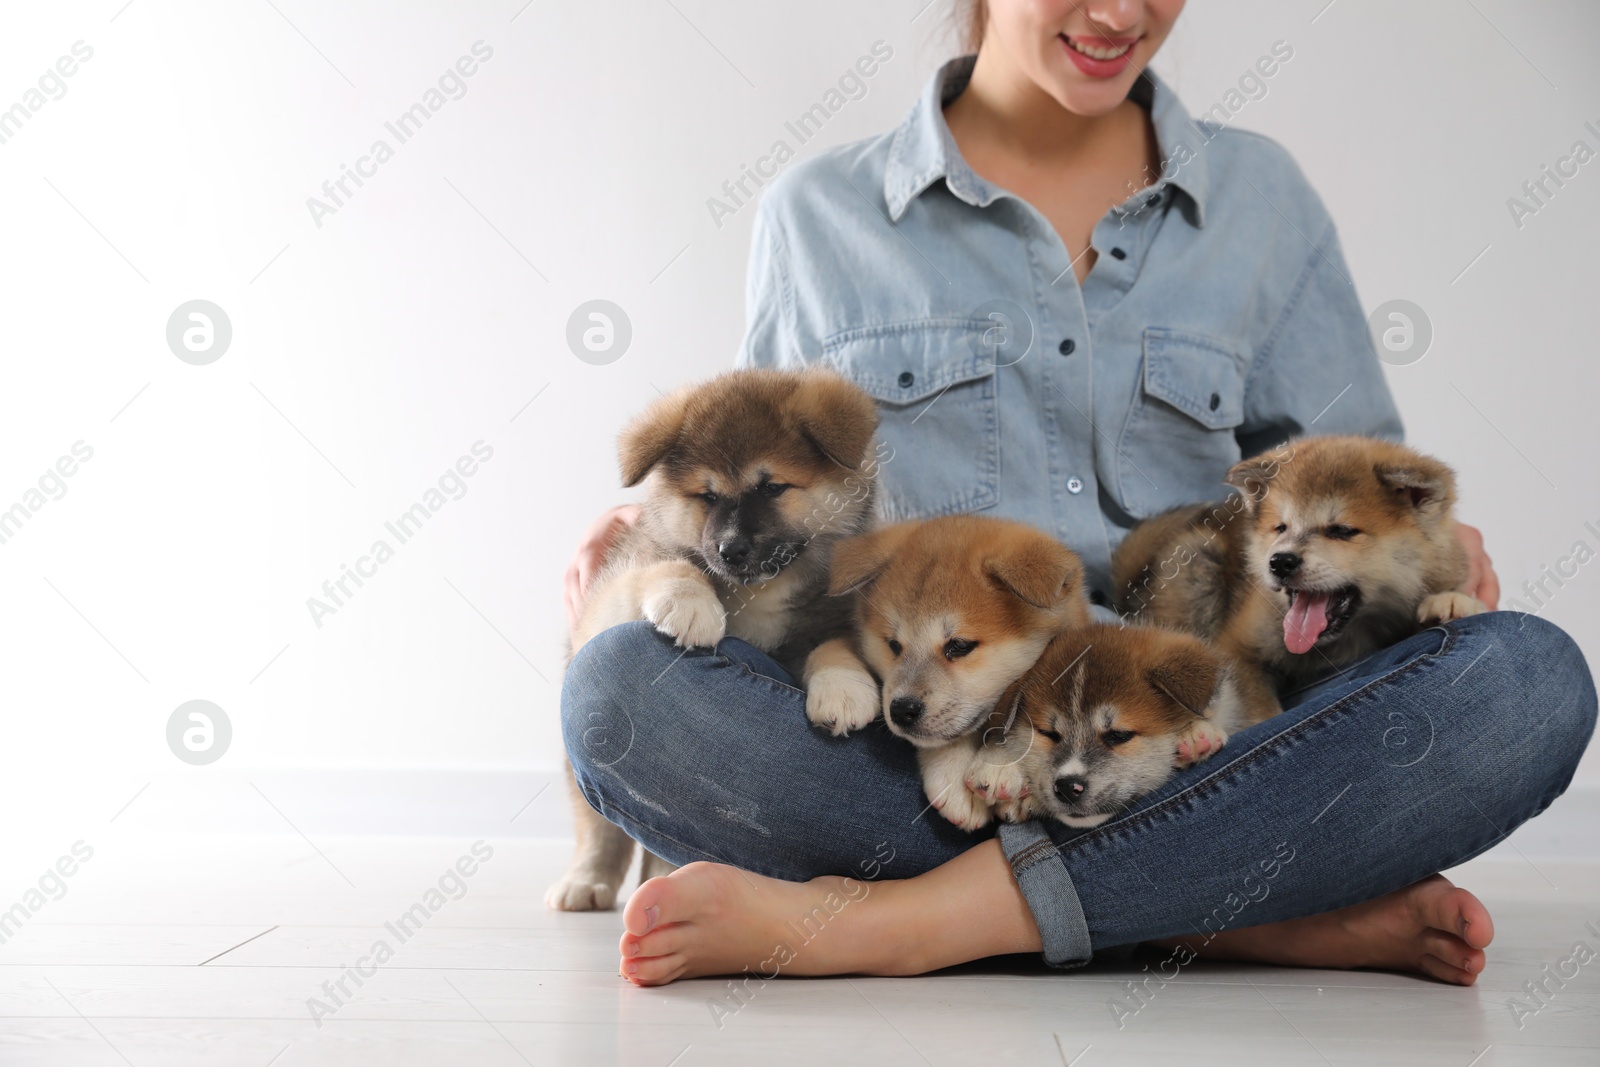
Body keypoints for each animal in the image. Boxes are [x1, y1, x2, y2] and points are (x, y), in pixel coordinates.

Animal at [544, 369, 883, 908]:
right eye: (707, 496)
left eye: (772, 488)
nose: (730, 549)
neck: (761, 591)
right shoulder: (609, 596)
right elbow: (668, 563)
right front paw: (691, 600)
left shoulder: (836, 613)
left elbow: (836, 644)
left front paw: (844, 689)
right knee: (598, 827)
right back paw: (586, 880)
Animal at [1113, 435, 1484, 716]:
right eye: (1280, 528)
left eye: (1342, 531)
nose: (1280, 561)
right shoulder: (1238, 648)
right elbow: (1255, 705)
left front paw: (1452, 600)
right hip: (1197, 561)